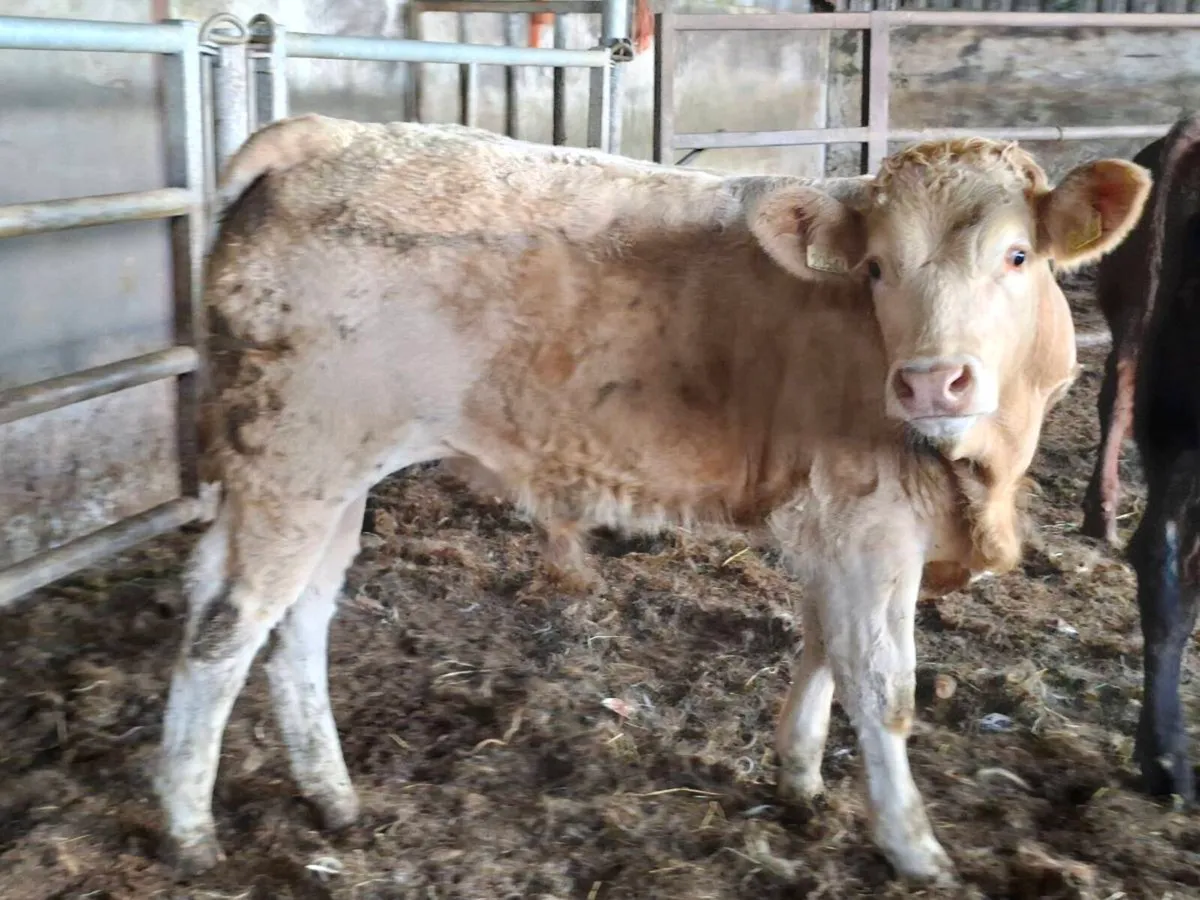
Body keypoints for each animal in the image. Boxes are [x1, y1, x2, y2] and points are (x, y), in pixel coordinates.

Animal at [155, 114, 1149, 886]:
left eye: (1016, 255)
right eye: (875, 269)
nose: (932, 381)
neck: (982, 468)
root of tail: (324, 134)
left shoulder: (832, 526)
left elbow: (822, 645)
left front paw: (799, 780)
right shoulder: (866, 522)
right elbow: (883, 685)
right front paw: (913, 848)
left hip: (327, 478)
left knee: (299, 621)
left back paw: (333, 797)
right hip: (296, 459)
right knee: (225, 630)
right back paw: (189, 833)